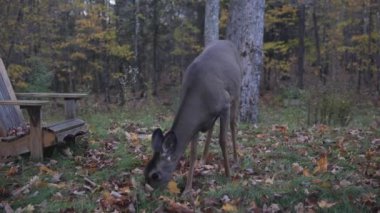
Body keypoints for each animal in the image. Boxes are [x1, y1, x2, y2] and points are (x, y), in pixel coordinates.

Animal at [144, 39, 242, 196]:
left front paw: (228, 176)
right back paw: (203, 160)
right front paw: (187, 190)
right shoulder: (197, 124)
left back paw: (236, 161)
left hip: (236, 92)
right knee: (211, 128)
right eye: (144, 172)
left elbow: (222, 140)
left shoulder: (225, 103)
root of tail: (227, 41)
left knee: (233, 124)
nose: (147, 192)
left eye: (155, 175)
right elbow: (192, 151)